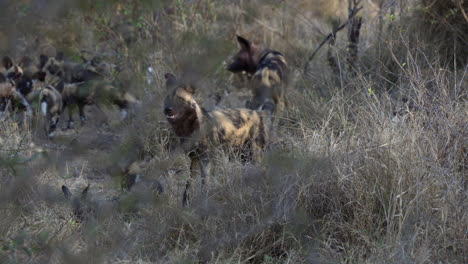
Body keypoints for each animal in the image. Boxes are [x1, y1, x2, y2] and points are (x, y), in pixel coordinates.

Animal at [165, 72, 274, 206]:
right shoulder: (194, 158)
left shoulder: (205, 159)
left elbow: (204, 183)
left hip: (254, 154)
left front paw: (203, 202)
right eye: (167, 98)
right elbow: (189, 184)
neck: (187, 127)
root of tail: (258, 113)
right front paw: (185, 204)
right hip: (242, 156)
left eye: (179, 99)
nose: (167, 109)